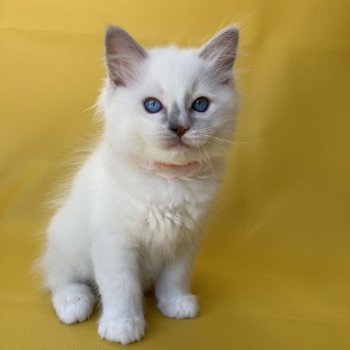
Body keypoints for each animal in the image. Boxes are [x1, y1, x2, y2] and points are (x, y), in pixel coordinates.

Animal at [39, 24, 239, 344]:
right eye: (153, 105)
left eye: (200, 105)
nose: (180, 127)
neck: (169, 179)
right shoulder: (115, 243)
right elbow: (122, 288)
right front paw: (123, 325)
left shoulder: (185, 240)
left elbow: (174, 278)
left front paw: (175, 304)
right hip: (68, 244)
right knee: (61, 280)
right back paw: (75, 304)